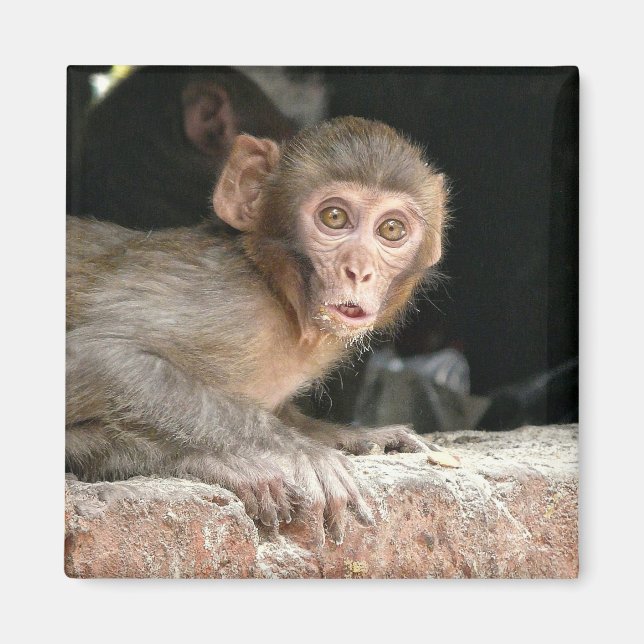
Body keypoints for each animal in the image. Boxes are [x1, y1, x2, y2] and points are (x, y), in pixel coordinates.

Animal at [66, 116, 449, 545]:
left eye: (392, 229)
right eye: (334, 218)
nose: (359, 270)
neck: (280, 297)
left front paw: (352, 436)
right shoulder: (229, 304)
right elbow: (93, 354)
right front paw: (298, 451)